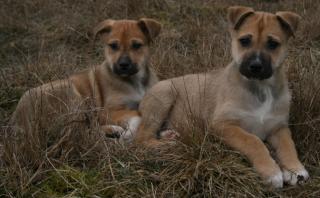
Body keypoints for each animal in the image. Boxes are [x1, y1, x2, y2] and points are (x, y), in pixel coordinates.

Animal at [10, 17, 160, 142]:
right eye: (113, 46)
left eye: (136, 45)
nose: (123, 65)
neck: (134, 81)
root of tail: (17, 120)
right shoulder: (108, 111)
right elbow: (137, 115)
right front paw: (129, 132)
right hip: (72, 96)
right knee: (83, 133)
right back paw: (114, 130)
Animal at [134, 6, 308, 188]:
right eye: (244, 41)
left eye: (273, 44)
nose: (255, 66)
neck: (260, 88)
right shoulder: (222, 125)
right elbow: (253, 141)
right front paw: (270, 170)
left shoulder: (279, 127)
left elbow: (288, 145)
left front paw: (295, 169)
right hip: (163, 96)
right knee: (140, 139)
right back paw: (167, 144)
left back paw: (169, 135)